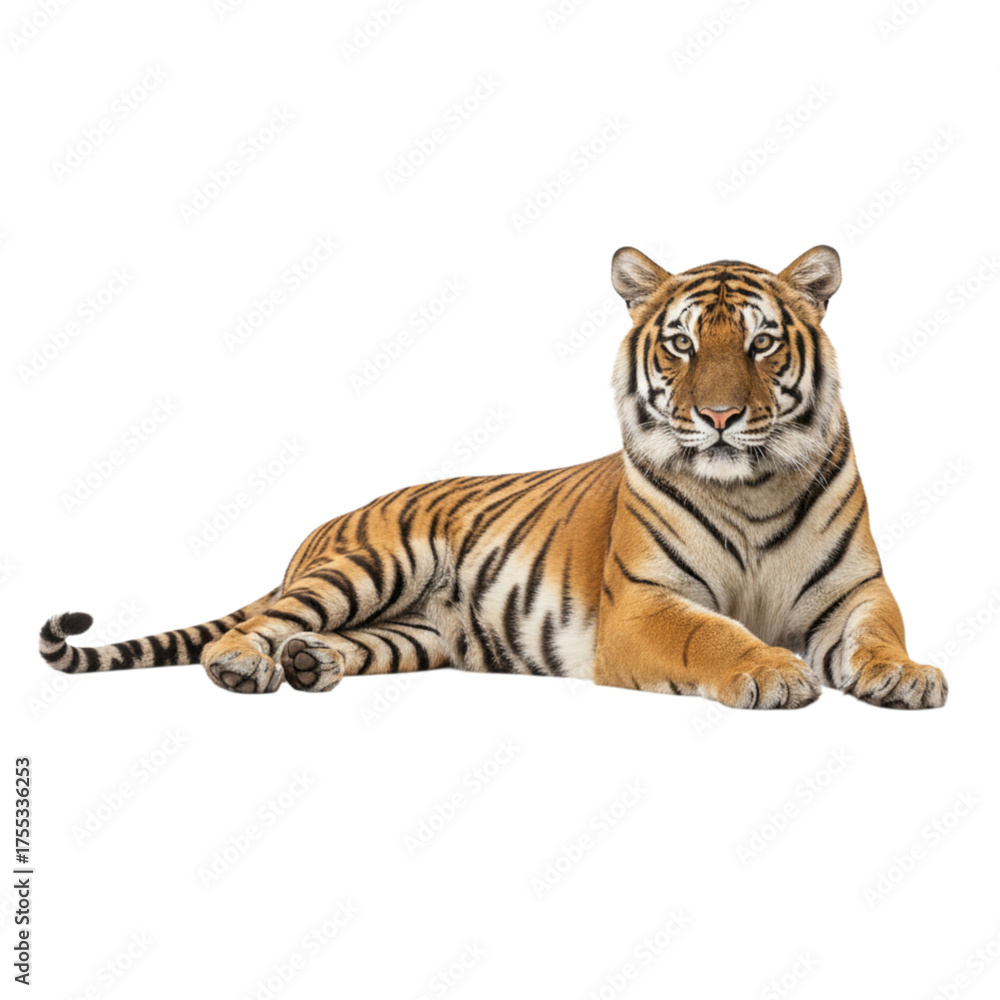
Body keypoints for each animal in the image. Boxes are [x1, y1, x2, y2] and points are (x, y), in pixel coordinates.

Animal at [39, 245, 947, 710]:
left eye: (760, 344)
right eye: (682, 345)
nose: (720, 416)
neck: (750, 487)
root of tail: (323, 526)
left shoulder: (856, 591)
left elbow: (879, 634)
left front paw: (906, 675)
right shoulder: (645, 604)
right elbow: (714, 634)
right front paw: (771, 670)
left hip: (416, 633)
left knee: (328, 640)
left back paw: (307, 665)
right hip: (371, 565)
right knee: (252, 627)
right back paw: (243, 666)